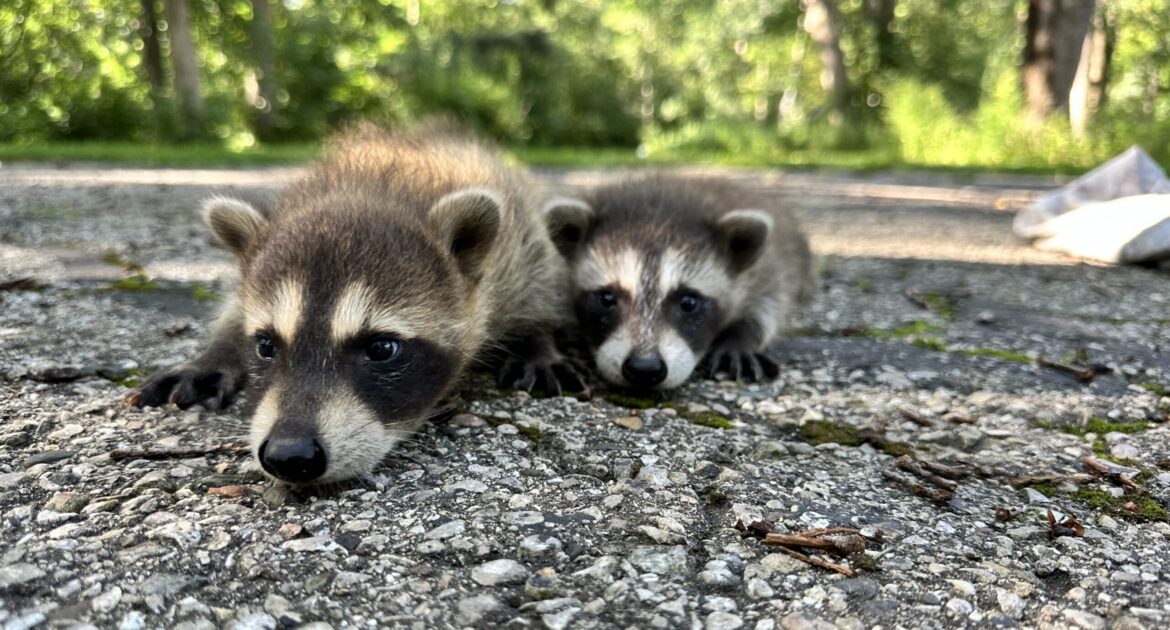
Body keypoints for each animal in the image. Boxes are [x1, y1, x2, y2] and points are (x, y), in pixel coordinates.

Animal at [127, 123, 581, 484]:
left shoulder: (517, 247)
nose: (289, 455)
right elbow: (234, 307)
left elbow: (542, 287)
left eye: (381, 348)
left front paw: (539, 341)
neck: (373, 189)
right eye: (266, 345)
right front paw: (215, 351)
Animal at [545, 175, 811, 390]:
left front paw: (741, 338)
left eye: (689, 302)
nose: (644, 369)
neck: (663, 199)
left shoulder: (766, 268)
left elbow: (770, 302)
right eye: (607, 298)